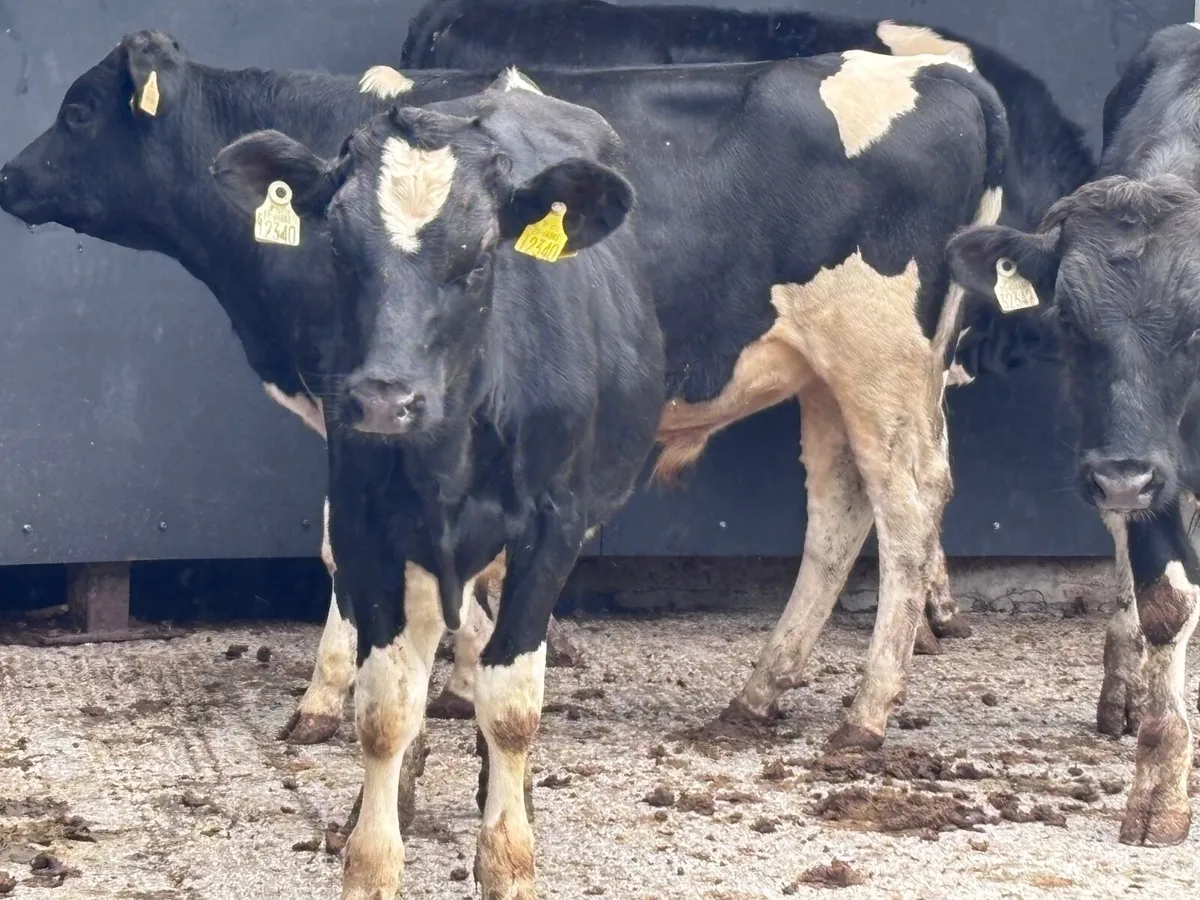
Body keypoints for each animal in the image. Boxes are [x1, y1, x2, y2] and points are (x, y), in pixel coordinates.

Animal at [211, 82, 664, 900]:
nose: (384, 400)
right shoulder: (364, 524)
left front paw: (508, 859)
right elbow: (386, 707)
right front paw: (371, 857)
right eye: (338, 246)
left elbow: (510, 705)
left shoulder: (553, 527)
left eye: (482, 252)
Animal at [946, 22, 1200, 847]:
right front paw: (1160, 788)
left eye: (1197, 325)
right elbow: (1165, 602)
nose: (1120, 474)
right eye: (1067, 320)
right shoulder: (1149, 470)